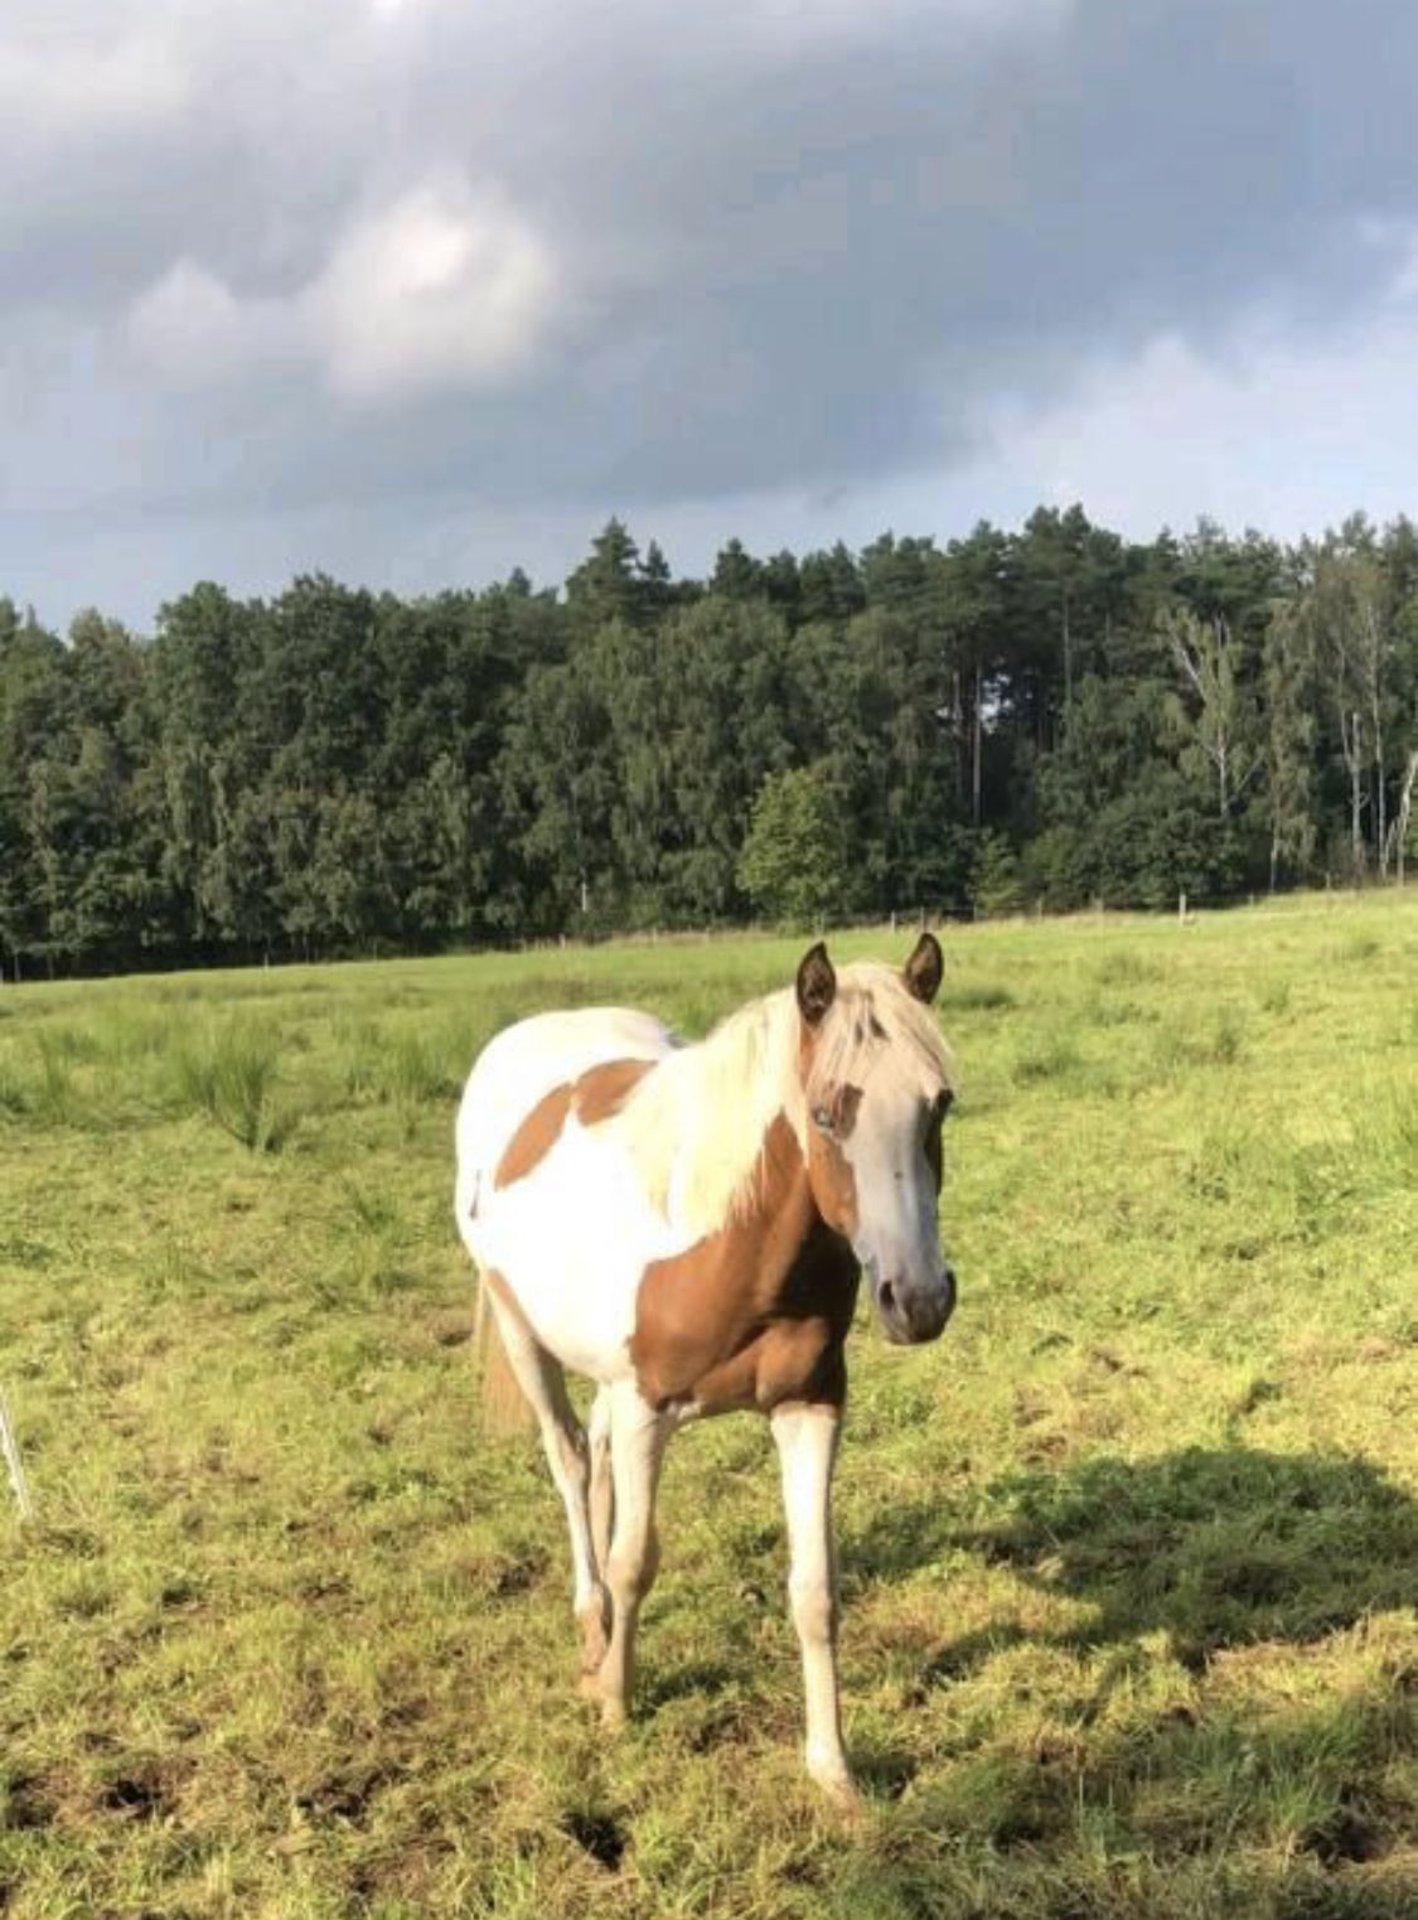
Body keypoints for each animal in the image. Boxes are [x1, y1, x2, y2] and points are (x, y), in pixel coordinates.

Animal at [454, 936, 959, 1804]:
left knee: (593, 1461)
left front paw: (833, 1770)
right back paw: (590, 1624)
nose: (919, 1300)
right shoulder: (646, 1410)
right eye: (824, 1114)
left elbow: (815, 1590)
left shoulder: (809, 1406)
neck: (732, 1241)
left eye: (940, 1105)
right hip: (524, 1335)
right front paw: (616, 1703)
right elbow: (635, 1562)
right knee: (568, 1461)